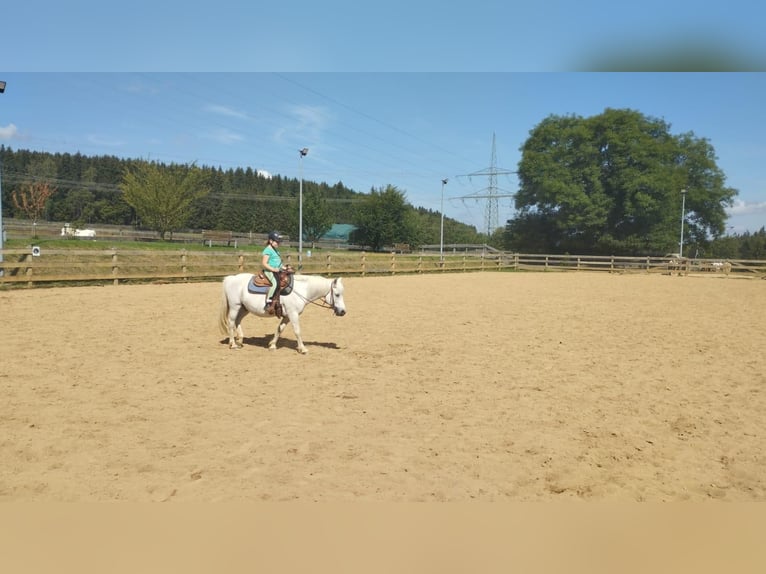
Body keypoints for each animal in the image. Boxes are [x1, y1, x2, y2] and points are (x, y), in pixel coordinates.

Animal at [218, 272, 346, 354]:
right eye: (337, 294)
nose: (343, 311)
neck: (301, 290)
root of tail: (230, 278)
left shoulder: (287, 316)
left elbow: (280, 329)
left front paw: (272, 345)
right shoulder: (293, 314)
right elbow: (297, 331)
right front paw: (302, 349)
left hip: (244, 308)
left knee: (237, 321)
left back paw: (240, 340)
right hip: (235, 306)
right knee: (231, 322)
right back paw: (233, 344)